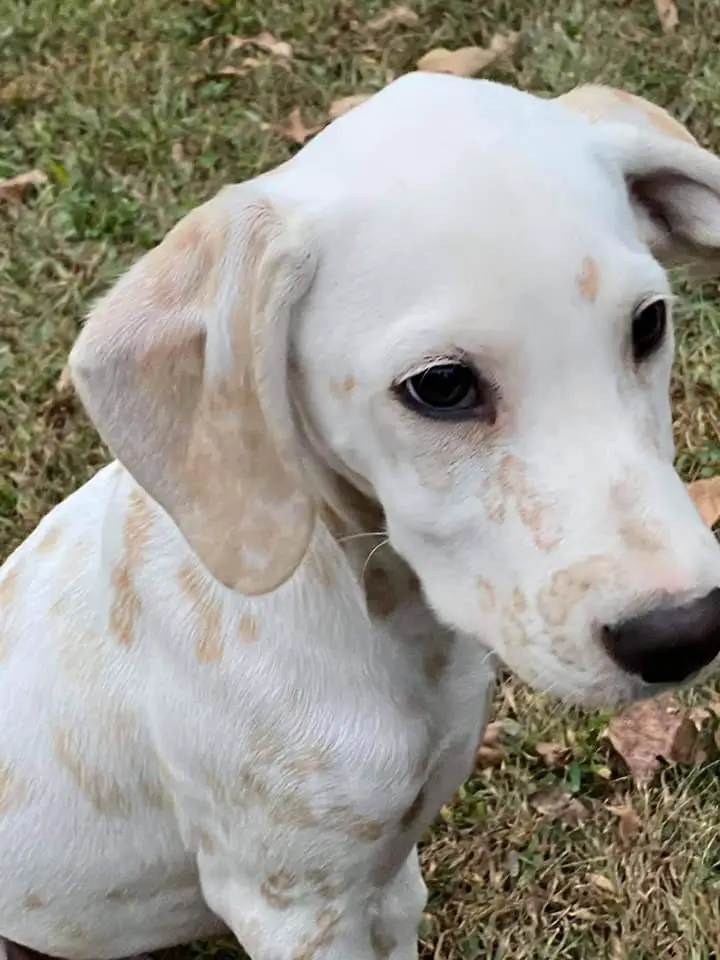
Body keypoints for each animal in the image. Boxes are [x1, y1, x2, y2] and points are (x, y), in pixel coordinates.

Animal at [1, 77, 720, 960]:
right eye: (440, 385)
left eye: (648, 323)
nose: (685, 632)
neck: (384, 620)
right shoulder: (294, 908)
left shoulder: (391, 879)